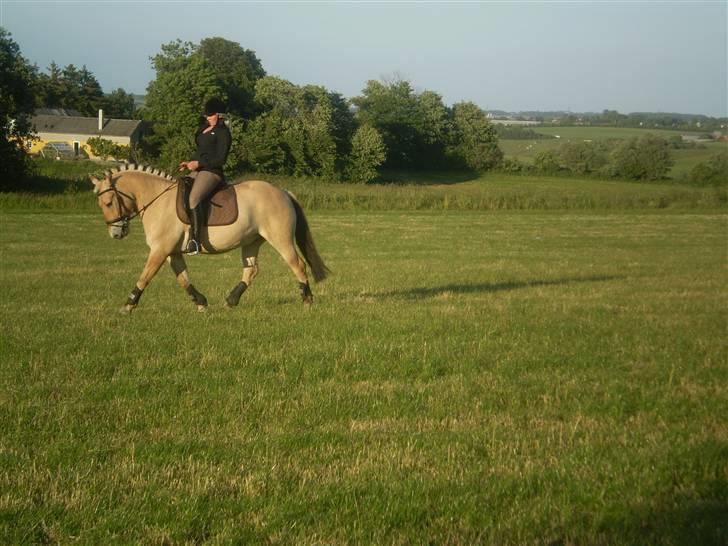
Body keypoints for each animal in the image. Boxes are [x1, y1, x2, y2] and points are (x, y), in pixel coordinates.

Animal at [91, 164, 330, 312]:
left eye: (109, 203)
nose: (116, 233)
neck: (158, 200)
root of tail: (283, 192)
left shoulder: (160, 250)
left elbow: (145, 276)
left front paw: (128, 305)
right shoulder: (172, 252)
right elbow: (183, 278)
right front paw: (201, 303)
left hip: (280, 239)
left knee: (298, 265)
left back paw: (307, 301)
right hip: (251, 241)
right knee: (251, 270)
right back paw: (230, 301)